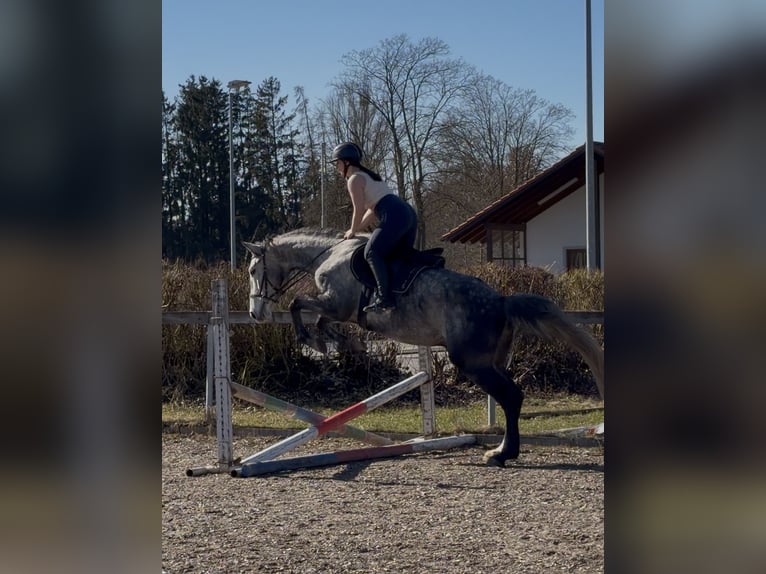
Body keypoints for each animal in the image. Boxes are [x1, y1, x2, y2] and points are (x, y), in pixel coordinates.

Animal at [244, 228, 604, 467]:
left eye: (252, 270)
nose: (255, 314)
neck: (330, 256)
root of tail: (501, 301)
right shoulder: (336, 308)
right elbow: (318, 319)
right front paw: (342, 343)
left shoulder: (336, 304)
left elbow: (298, 305)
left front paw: (315, 341)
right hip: (493, 361)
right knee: (511, 398)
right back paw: (503, 450)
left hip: (472, 363)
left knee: (511, 397)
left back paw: (501, 454)